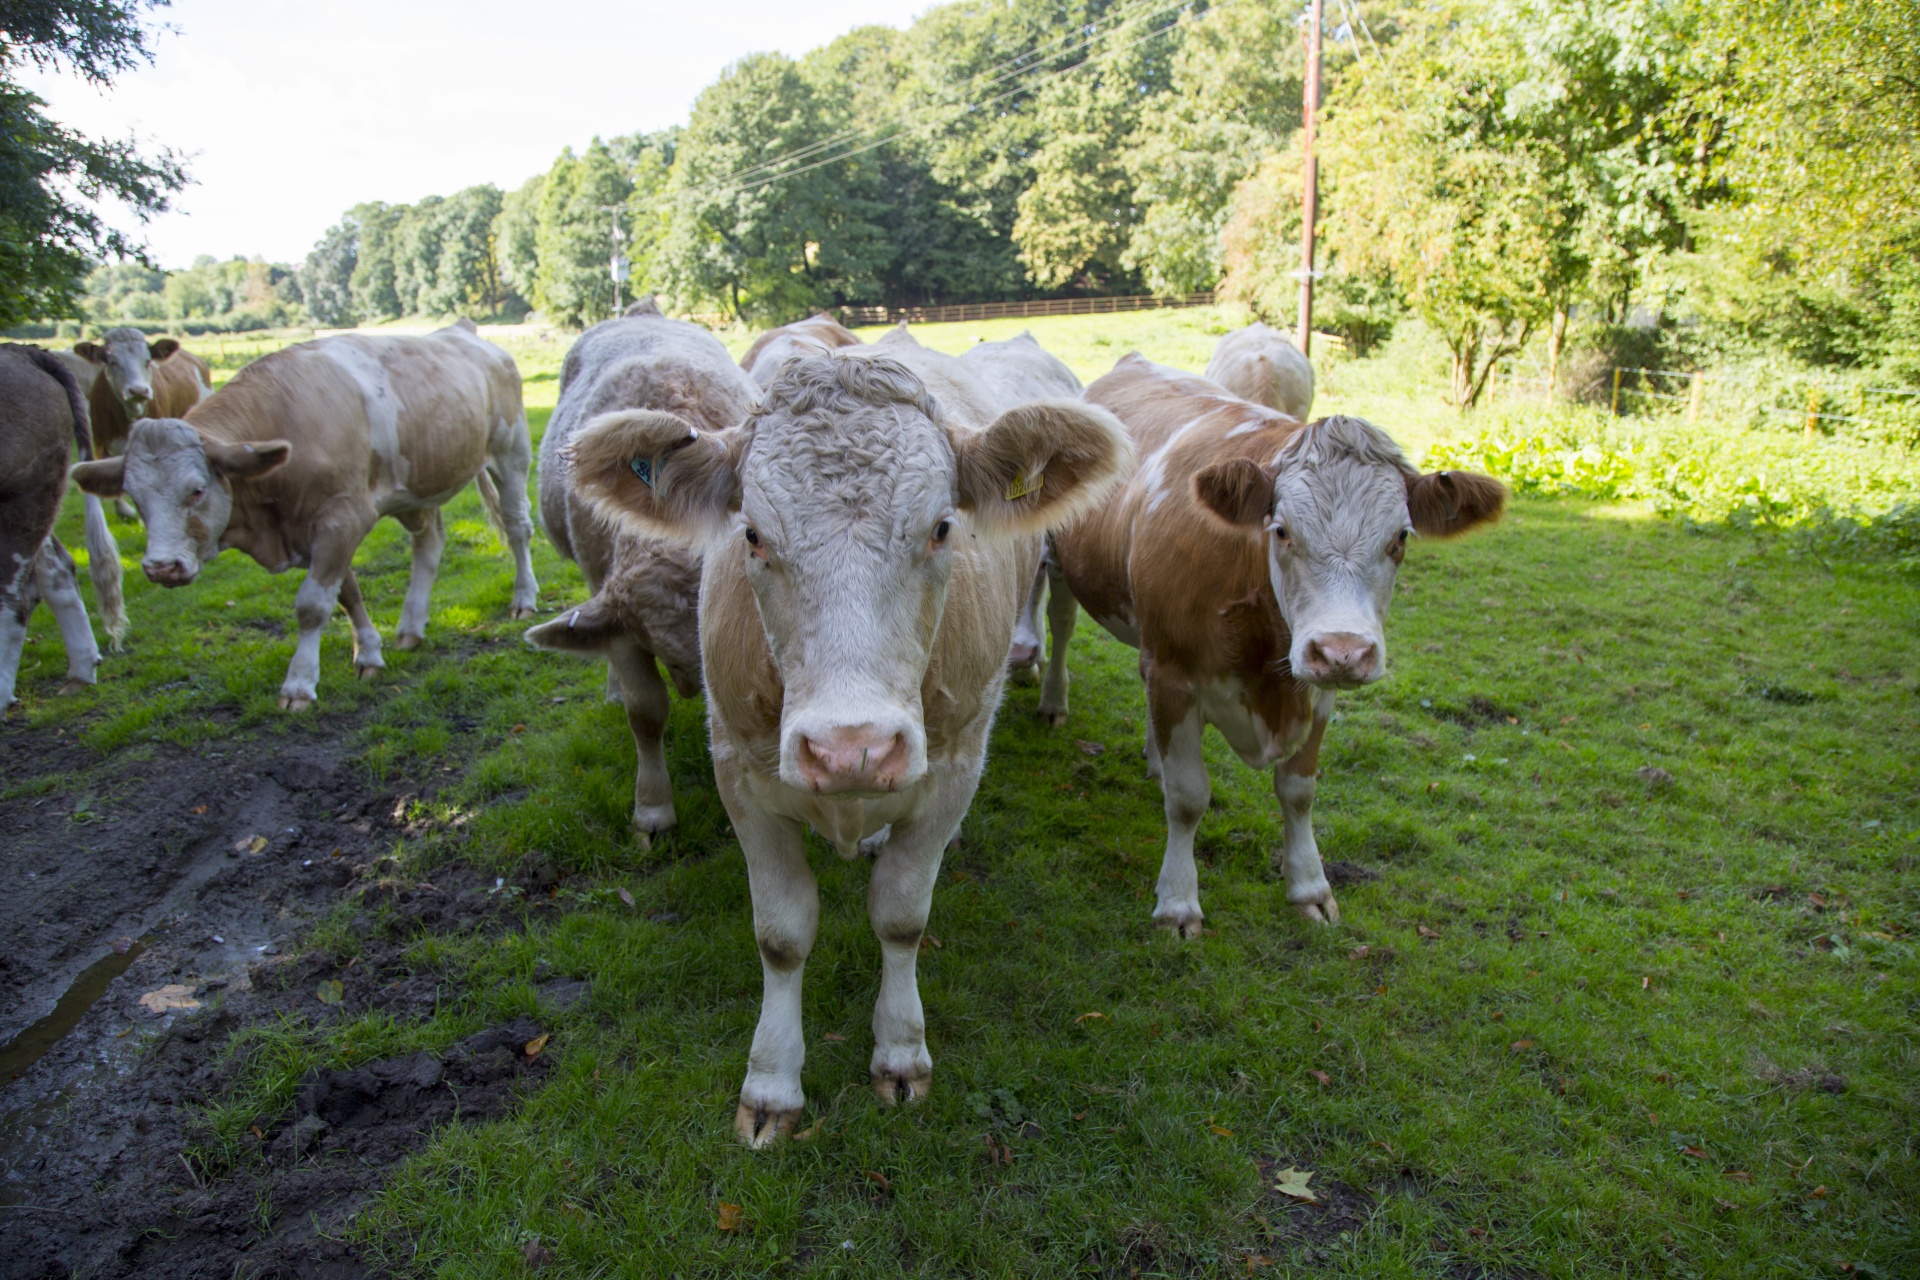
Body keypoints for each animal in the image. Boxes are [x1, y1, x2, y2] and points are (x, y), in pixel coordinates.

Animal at [72, 318, 541, 710]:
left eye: (197, 490)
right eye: (135, 498)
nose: (160, 567)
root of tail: (460, 329)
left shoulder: (343, 517)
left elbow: (313, 604)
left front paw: (299, 684)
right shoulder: (314, 528)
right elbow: (346, 593)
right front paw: (369, 653)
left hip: (511, 452)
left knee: (517, 526)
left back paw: (524, 599)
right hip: (418, 488)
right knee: (429, 544)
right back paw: (411, 626)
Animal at [560, 326, 1128, 1143]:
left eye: (943, 527)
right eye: (753, 535)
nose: (850, 748)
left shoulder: (951, 770)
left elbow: (901, 915)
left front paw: (900, 1052)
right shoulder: (739, 772)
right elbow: (782, 932)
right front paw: (772, 1084)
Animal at [1044, 355, 1505, 936]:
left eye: (1400, 538)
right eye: (1282, 530)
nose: (1343, 650)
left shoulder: (1315, 690)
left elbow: (1299, 790)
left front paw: (1310, 887)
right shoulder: (1175, 672)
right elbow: (1188, 798)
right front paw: (1178, 901)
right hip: (1063, 562)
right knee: (1061, 624)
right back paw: (1054, 702)